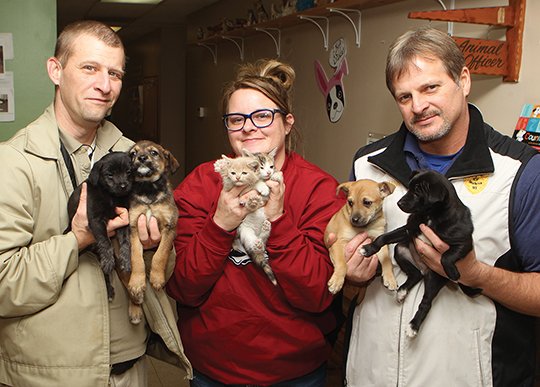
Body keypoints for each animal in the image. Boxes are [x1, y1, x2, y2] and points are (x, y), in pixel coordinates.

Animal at [67, 151, 133, 300]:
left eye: (128, 172)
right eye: (110, 175)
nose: (123, 186)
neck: (111, 196)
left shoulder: (123, 220)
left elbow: (126, 242)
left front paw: (126, 260)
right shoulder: (96, 220)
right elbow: (105, 241)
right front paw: (108, 261)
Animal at [124, 140, 179, 324]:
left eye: (154, 152)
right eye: (132, 154)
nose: (141, 158)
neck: (148, 189)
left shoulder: (169, 228)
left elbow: (160, 256)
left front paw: (156, 278)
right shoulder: (133, 228)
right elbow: (136, 259)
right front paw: (137, 282)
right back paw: (135, 304)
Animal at [362, 171, 476, 338]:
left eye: (417, 192)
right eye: (409, 188)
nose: (399, 203)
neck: (430, 216)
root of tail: (424, 269)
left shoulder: (464, 242)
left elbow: (446, 257)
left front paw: (453, 273)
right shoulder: (408, 229)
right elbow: (384, 237)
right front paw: (369, 248)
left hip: (434, 278)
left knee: (426, 303)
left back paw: (413, 326)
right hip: (401, 251)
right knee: (415, 274)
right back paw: (402, 291)